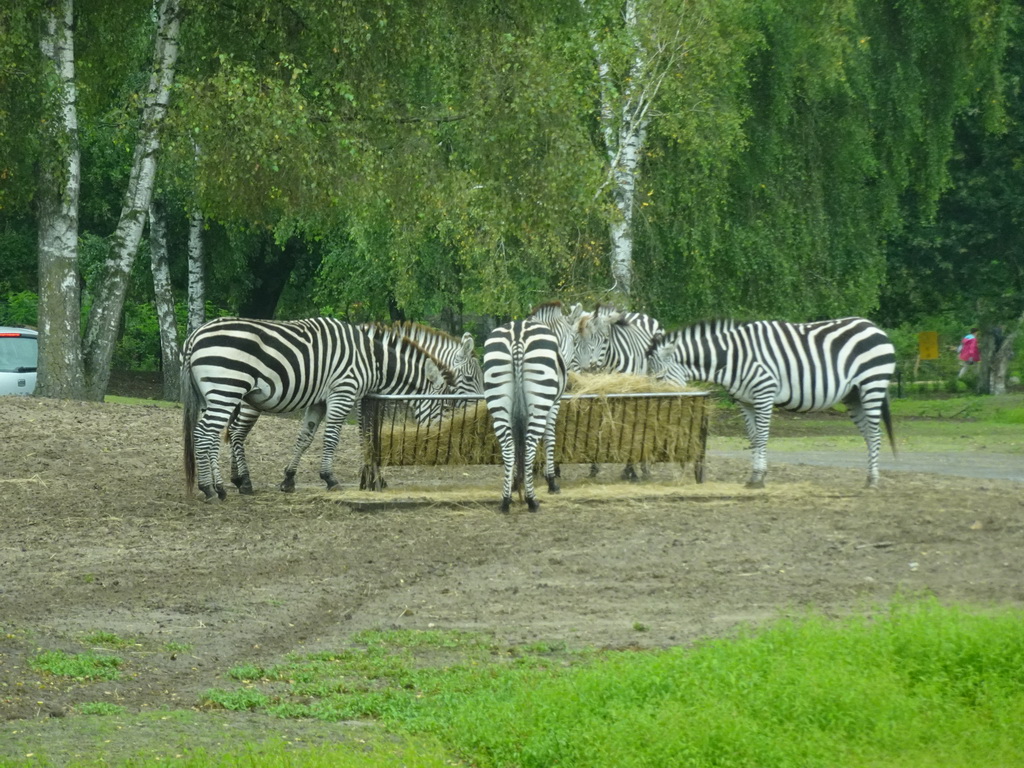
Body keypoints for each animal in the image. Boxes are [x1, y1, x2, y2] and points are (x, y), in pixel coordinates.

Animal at [182, 315, 454, 501]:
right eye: (445, 405)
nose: (442, 440)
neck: (371, 359)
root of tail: (195, 335)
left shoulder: (319, 401)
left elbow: (306, 437)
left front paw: (288, 480)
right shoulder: (343, 392)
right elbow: (332, 437)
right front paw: (330, 478)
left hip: (211, 395)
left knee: (211, 436)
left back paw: (220, 487)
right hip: (227, 388)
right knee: (205, 435)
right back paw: (209, 489)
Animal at [481, 321, 569, 514]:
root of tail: (517, 333)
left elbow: (517, 445)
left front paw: (515, 483)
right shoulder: (554, 405)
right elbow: (550, 438)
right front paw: (551, 482)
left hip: (498, 402)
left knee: (509, 448)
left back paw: (505, 501)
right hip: (541, 399)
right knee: (528, 448)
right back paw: (532, 500)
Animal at [647, 317, 897, 487]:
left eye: (658, 378)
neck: (733, 357)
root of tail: (872, 325)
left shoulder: (764, 393)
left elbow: (763, 436)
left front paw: (759, 478)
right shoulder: (744, 401)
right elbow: (753, 438)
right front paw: (754, 476)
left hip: (872, 384)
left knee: (875, 433)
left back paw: (873, 481)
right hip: (853, 395)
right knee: (868, 434)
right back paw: (868, 477)